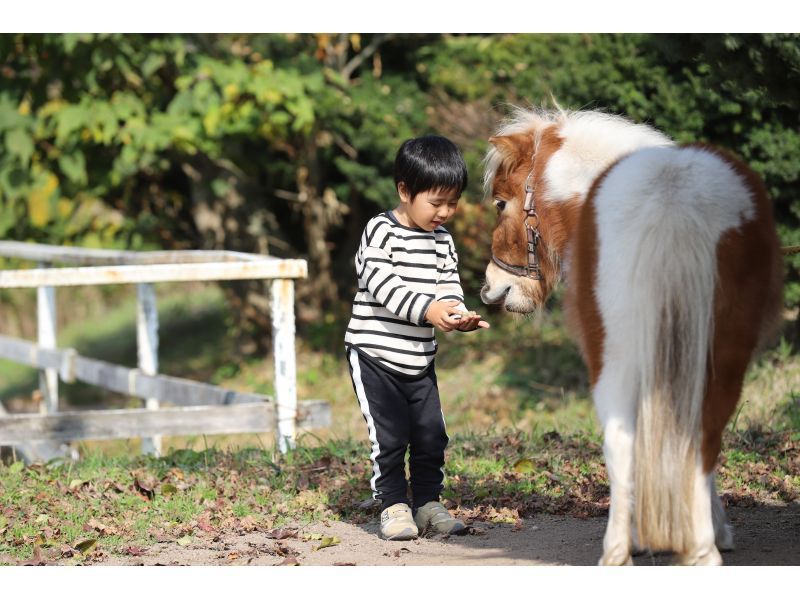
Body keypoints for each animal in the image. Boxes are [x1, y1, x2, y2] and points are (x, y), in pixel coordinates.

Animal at [482, 108, 780, 568]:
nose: (492, 290)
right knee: (702, 437)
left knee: (623, 441)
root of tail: (672, 195)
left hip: (617, 360)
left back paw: (619, 550)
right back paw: (702, 547)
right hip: (724, 358)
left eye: (501, 202)